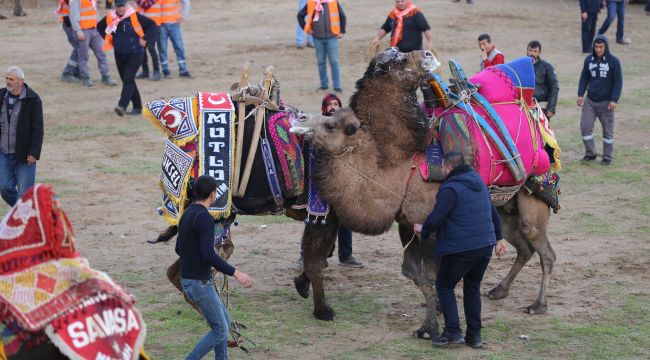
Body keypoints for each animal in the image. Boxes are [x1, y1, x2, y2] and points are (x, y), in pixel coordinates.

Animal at [292, 47, 556, 338]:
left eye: (331, 125)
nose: (300, 117)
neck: (401, 168)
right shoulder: (408, 223)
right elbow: (410, 271)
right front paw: (436, 311)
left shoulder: (431, 227)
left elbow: (429, 276)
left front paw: (429, 327)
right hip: (505, 209)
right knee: (523, 248)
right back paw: (499, 290)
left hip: (533, 204)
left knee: (545, 252)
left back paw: (538, 305)